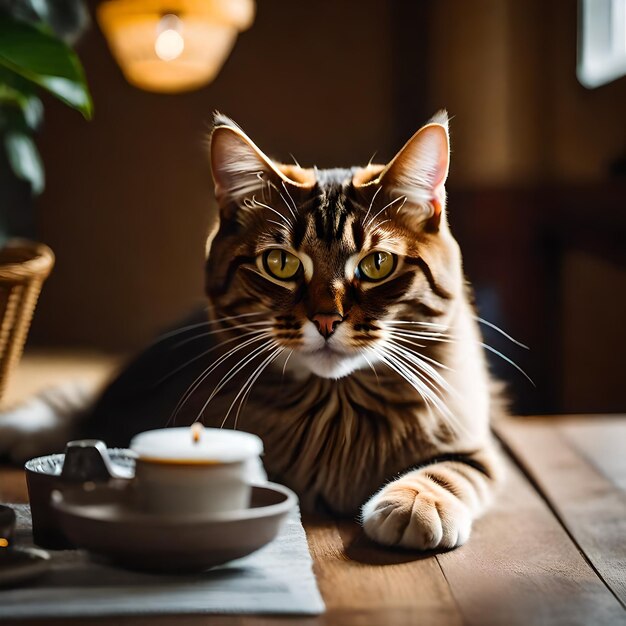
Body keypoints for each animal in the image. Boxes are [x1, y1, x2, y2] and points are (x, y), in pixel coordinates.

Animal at [0, 111, 502, 544]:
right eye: (280, 263)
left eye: (377, 264)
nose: (326, 319)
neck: (334, 406)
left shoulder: (476, 447)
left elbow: (450, 471)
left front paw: (415, 501)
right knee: (84, 407)